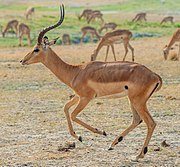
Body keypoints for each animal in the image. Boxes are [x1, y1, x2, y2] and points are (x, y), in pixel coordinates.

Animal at [20, 4, 162, 162]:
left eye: (36, 49)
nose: (22, 60)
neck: (75, 71)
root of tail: (155, 75)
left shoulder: (86, 98)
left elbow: (73, 114)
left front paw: (100, 132)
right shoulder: (78, 96)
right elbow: (65, 108)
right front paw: (79, 137)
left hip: (138, 101)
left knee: (150, 122)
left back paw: (138, 155)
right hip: (132, 100)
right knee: (137, 120)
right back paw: (113, 144)